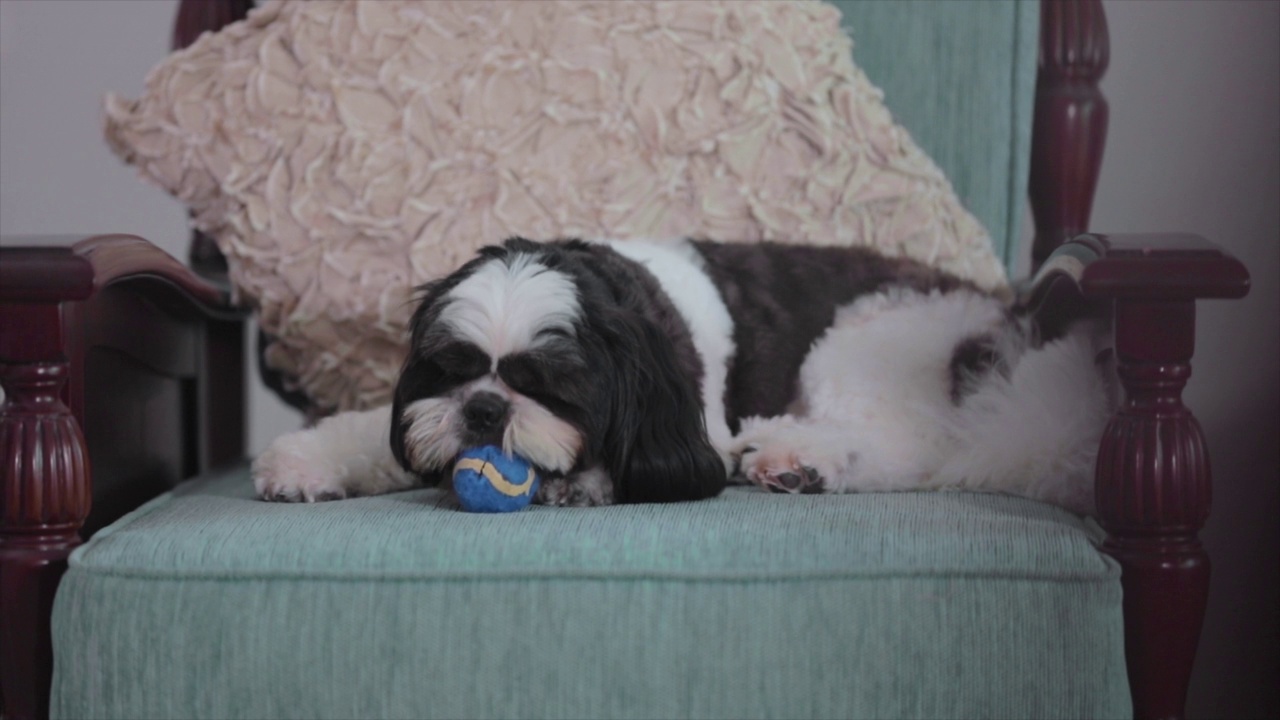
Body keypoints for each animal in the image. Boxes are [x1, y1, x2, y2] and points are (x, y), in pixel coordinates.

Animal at [252, 238, 1111, 512]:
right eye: (452, 371)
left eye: (550, 387)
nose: (487, 411)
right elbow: (377, 428)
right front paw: (305, 461)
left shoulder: (695, 425)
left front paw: (584, 480)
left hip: (866, 342)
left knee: (919, 448)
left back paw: (800, 455)